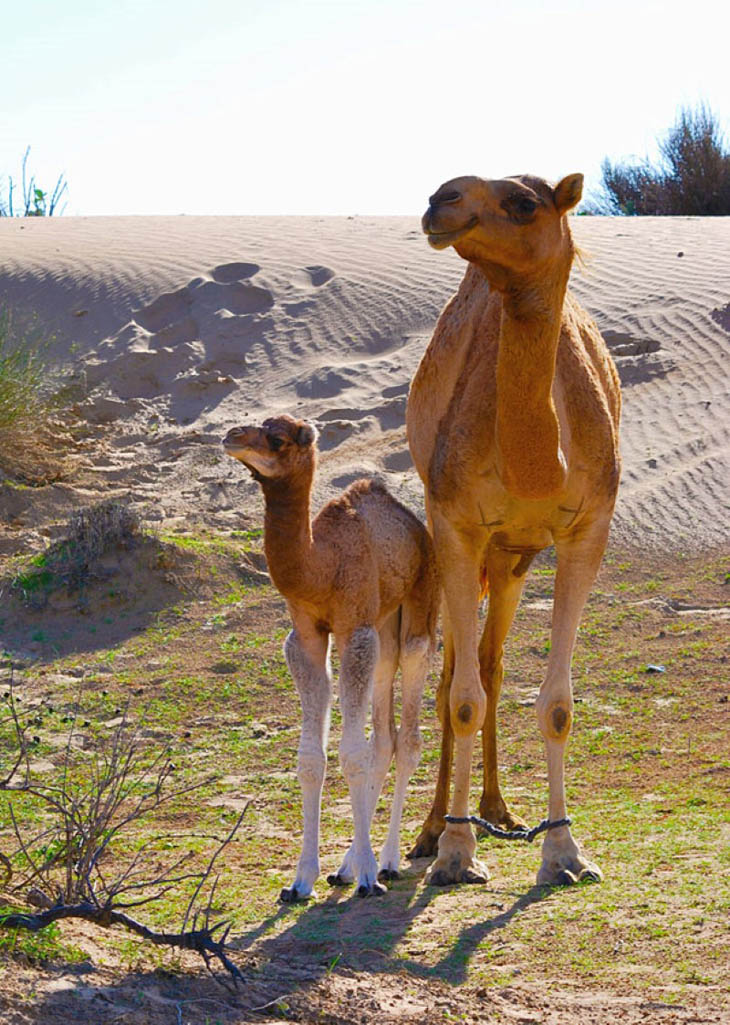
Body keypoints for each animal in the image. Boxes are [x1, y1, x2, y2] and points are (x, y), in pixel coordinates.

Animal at [222, 414, 438, 897]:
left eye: (277, 438)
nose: (230, 436)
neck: (320, 566)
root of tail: (417, 526)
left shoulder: (353, 629)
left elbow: (352, 754)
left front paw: (368, 877)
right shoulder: (306, 637)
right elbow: (311, 759)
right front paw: (302, 880)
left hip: (418, 609)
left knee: (408, 738)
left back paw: (387, 861)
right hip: (384, 626)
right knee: (385, 737)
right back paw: (349, 866)